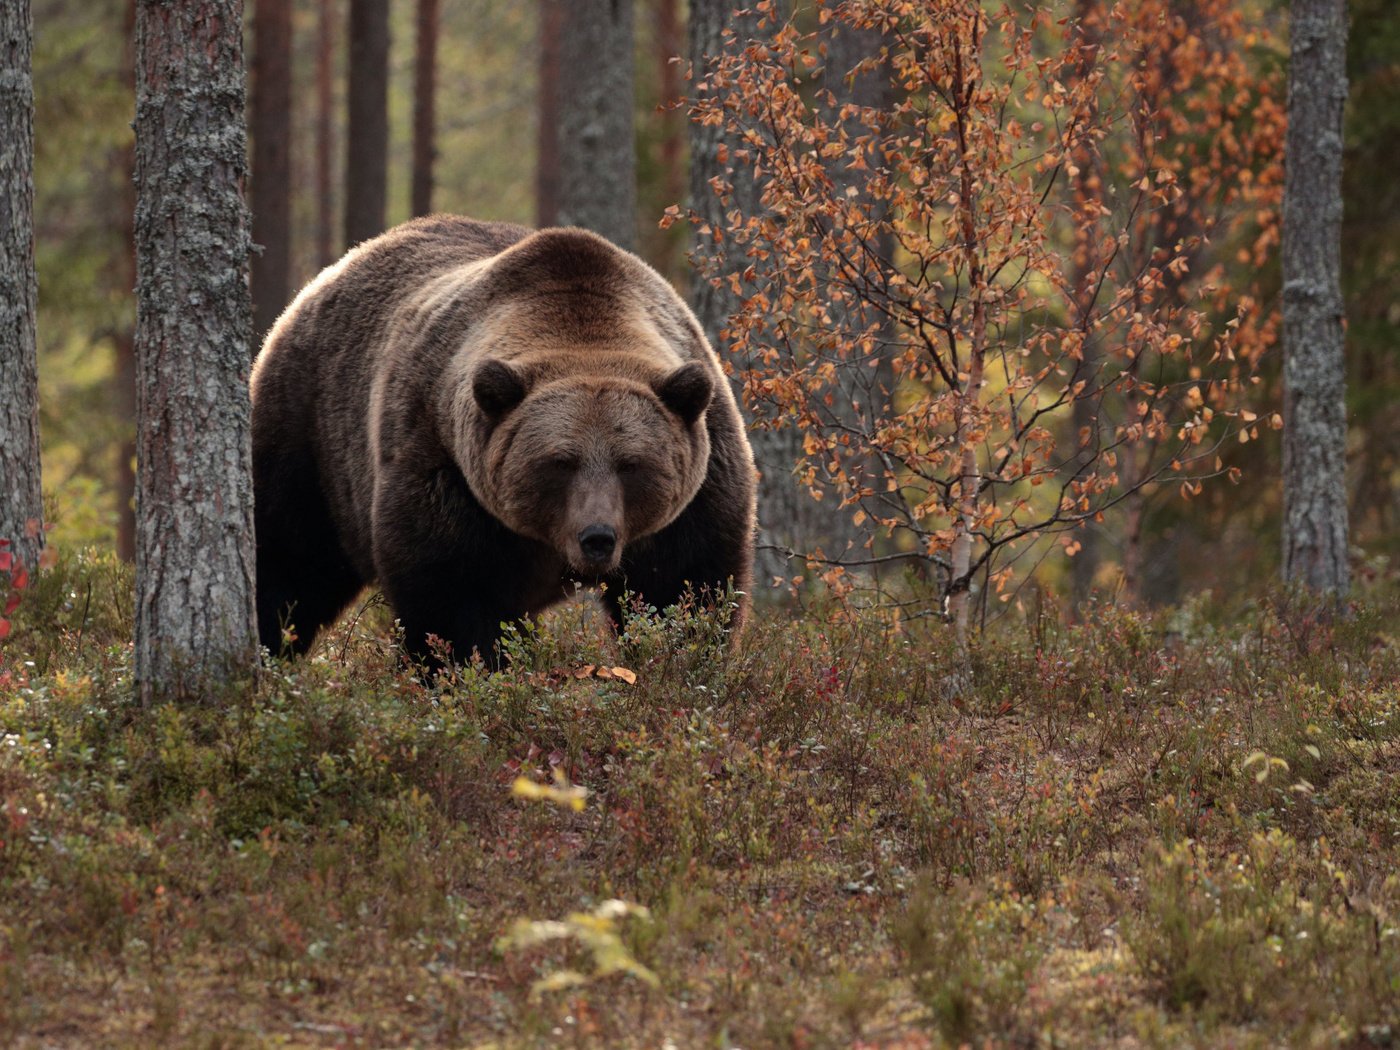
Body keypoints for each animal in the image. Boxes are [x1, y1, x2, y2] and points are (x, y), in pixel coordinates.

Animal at [247, 215, 761, 666]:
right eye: (560, 461)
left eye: (631, 463)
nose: (597, 537)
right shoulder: (443, 462)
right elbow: (454, 598)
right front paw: (467, 670)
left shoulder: (700, 482)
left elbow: (684, 588)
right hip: (313, 436)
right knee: (288, 557)